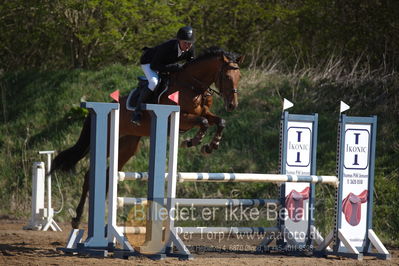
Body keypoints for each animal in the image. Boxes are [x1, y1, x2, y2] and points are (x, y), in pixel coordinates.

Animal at [50, 46, 244, 229]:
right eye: (227, 76)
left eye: (239, 76)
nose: (232, 105)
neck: (192, 85)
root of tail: (101, 107)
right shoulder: (181, 118)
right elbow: (202, 122)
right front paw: (192, 141)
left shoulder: (206, 113)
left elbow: (220, 121)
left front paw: (211, 145)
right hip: (106, 141)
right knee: (89, 175)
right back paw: (77, 219)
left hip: (127, 146)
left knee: (107, 175)